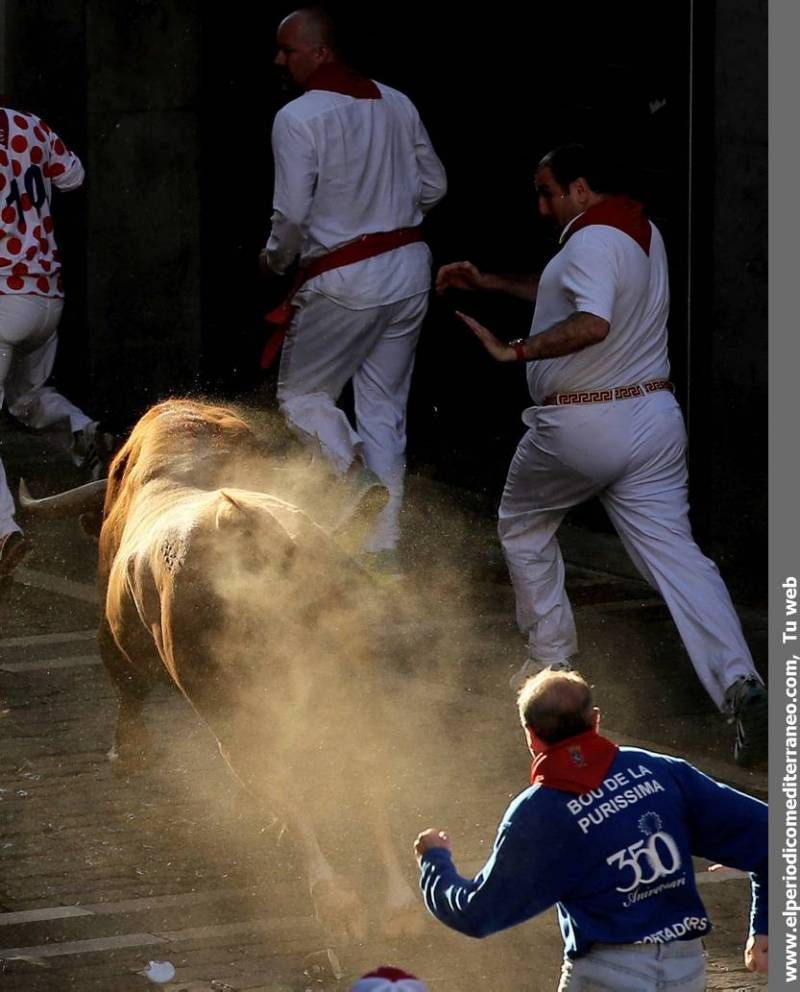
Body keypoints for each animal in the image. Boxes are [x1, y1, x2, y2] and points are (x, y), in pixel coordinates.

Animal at [25, 400, 424, 940]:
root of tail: (251, 528)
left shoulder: (114, 637)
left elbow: (128, 690)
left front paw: (130, 753)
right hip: (343, 679)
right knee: (368, 767)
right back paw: (400, 907)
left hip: (232, 703)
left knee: (278, 776)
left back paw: (333, 898)